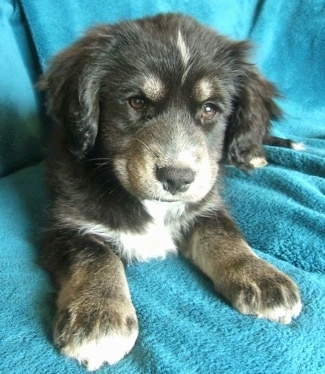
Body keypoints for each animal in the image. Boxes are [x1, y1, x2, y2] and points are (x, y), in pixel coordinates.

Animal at [40, 13, 302, 370]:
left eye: (209, 109)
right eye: (137, 102)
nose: (178, 179)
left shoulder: (206, 203)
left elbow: (225, 236)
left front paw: (262, 276)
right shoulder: (67, 224)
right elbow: (96, 256)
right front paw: (99, 318)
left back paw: (252, 154)